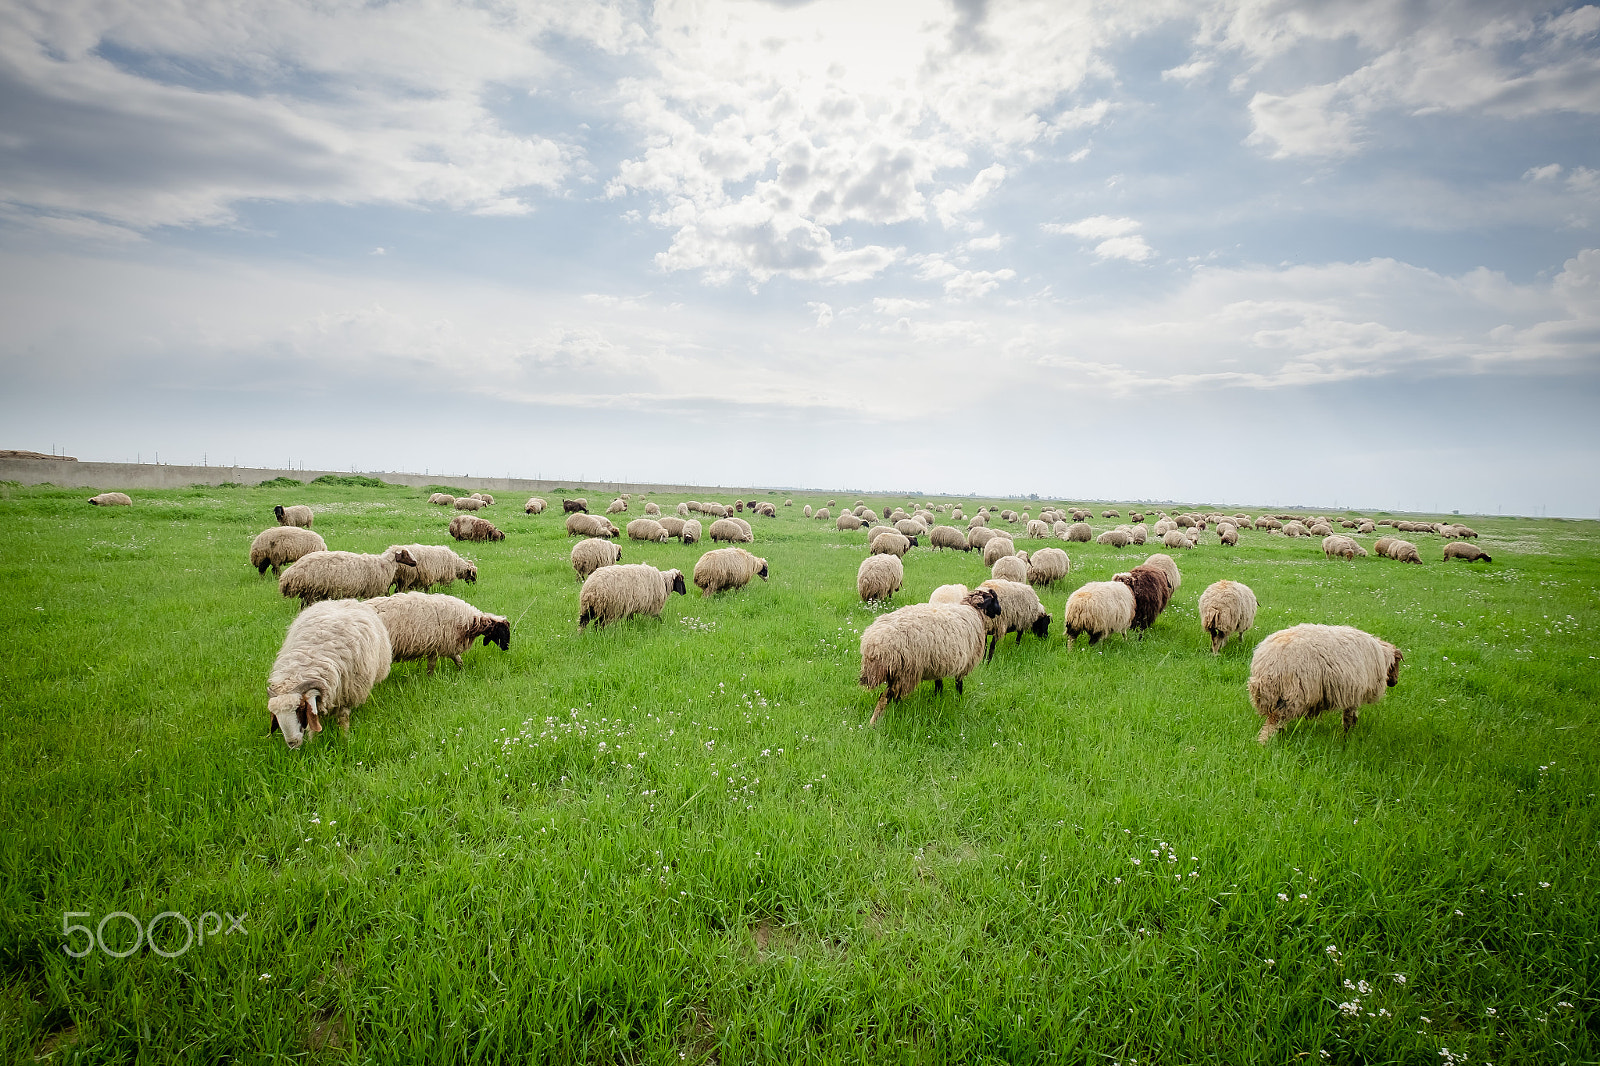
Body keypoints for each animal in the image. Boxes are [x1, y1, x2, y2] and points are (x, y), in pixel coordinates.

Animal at [267, 599, 391, 749]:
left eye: (300, 707)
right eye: (275, 714)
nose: (292, 743)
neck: (310, 657)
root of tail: (344, 600)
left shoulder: (347, 694)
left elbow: (343, 718)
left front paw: (344, 738)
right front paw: (313, 741)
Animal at [280, 548, 418, 608]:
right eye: (406, 554)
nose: (415, 563)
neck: (384, 564)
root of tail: (288, 575)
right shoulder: (373, 590)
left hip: (309, 592)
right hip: (312, 590)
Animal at [365, 592, 509, 674]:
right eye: (502, 631)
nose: (506, 647)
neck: (471, 622)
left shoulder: (449, 644)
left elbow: (458, 660)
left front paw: (462, 672)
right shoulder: (436, 646)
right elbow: (431, 666)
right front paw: (429, 679)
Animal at [858, 588, 1003, 725]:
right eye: (994, 599)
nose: (1000, 611)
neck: (974, 612)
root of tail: (873, 645)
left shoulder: (938, 663)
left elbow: (939, 685)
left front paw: (937, 698)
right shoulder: (965, 662)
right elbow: (959, 684)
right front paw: (959, 699)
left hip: (896, 673)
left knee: (892, 695)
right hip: (905, 671)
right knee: (885, 697)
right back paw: (874, 722)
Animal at [1248, 624, 1403, 743]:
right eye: (1397, 663)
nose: (1395, 682)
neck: (1382, 657)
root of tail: (1265, 660)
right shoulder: (1354, 692)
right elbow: (1350, 718)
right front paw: (1347, 737)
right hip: (1292, 694)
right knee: (1274, 721)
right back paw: (1263, 743)